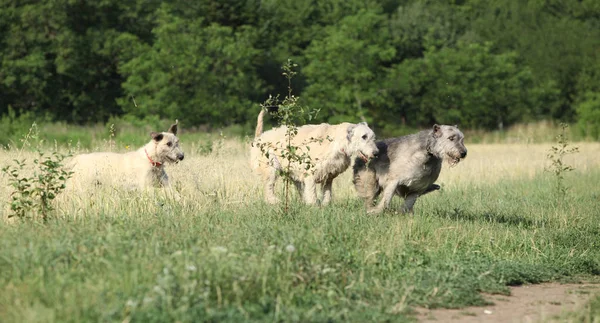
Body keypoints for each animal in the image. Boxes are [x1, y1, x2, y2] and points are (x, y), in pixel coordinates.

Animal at [248, 109, 376, 205]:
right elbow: (312, 192)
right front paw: (314, 207)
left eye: (373, 137)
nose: (376, 153)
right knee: (269, 187)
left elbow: (327, 193)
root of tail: (259, 137)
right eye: (364, 136)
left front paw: (325, 205)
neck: (338, 141)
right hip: (271, 168)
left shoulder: (329, 175)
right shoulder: (310, 174)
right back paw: (274, 202)